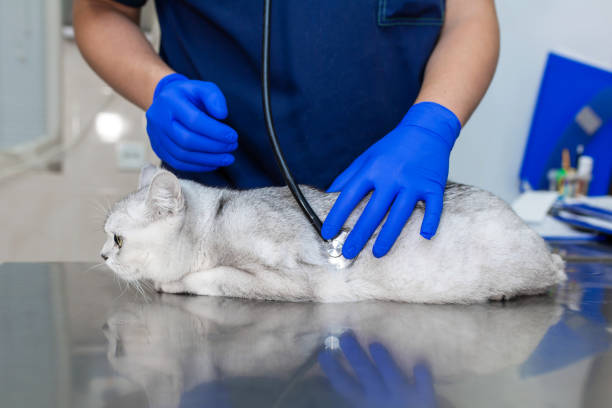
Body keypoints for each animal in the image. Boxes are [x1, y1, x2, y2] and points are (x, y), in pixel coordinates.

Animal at [99, 166, 564, 302]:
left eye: (117, 239)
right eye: (105, 237)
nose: (102, 256)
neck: (215, 221)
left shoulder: (294, 279)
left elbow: (209, 278)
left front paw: (175, 282)